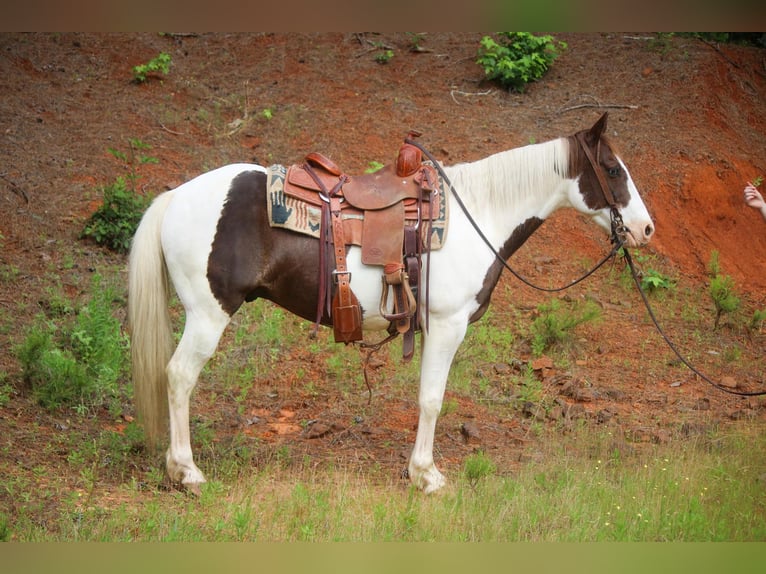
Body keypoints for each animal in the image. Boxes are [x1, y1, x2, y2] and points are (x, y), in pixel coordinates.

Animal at [129, 112, 656, 496]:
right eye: (613, 170)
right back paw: (186, 472)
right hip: (208, 315)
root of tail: (176, 196)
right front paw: (427, 476)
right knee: (179, 376)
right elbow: (432, 398)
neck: (480, 214)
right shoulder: (447, 326)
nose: (645, 228)